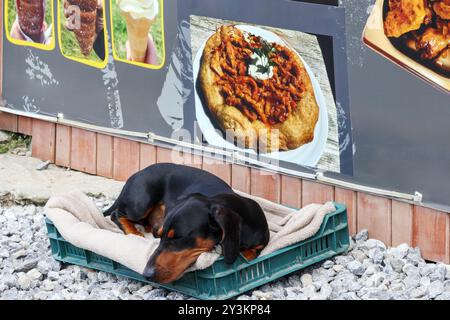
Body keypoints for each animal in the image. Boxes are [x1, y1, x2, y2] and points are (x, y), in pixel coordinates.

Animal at [103, 164, 268, 284]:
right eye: (161, 237)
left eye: (177, 238)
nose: (146, 274)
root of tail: (136, 174)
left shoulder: (261, 243)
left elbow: (250, 253)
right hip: (140, 204)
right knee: (115, 214)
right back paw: (135, 232)